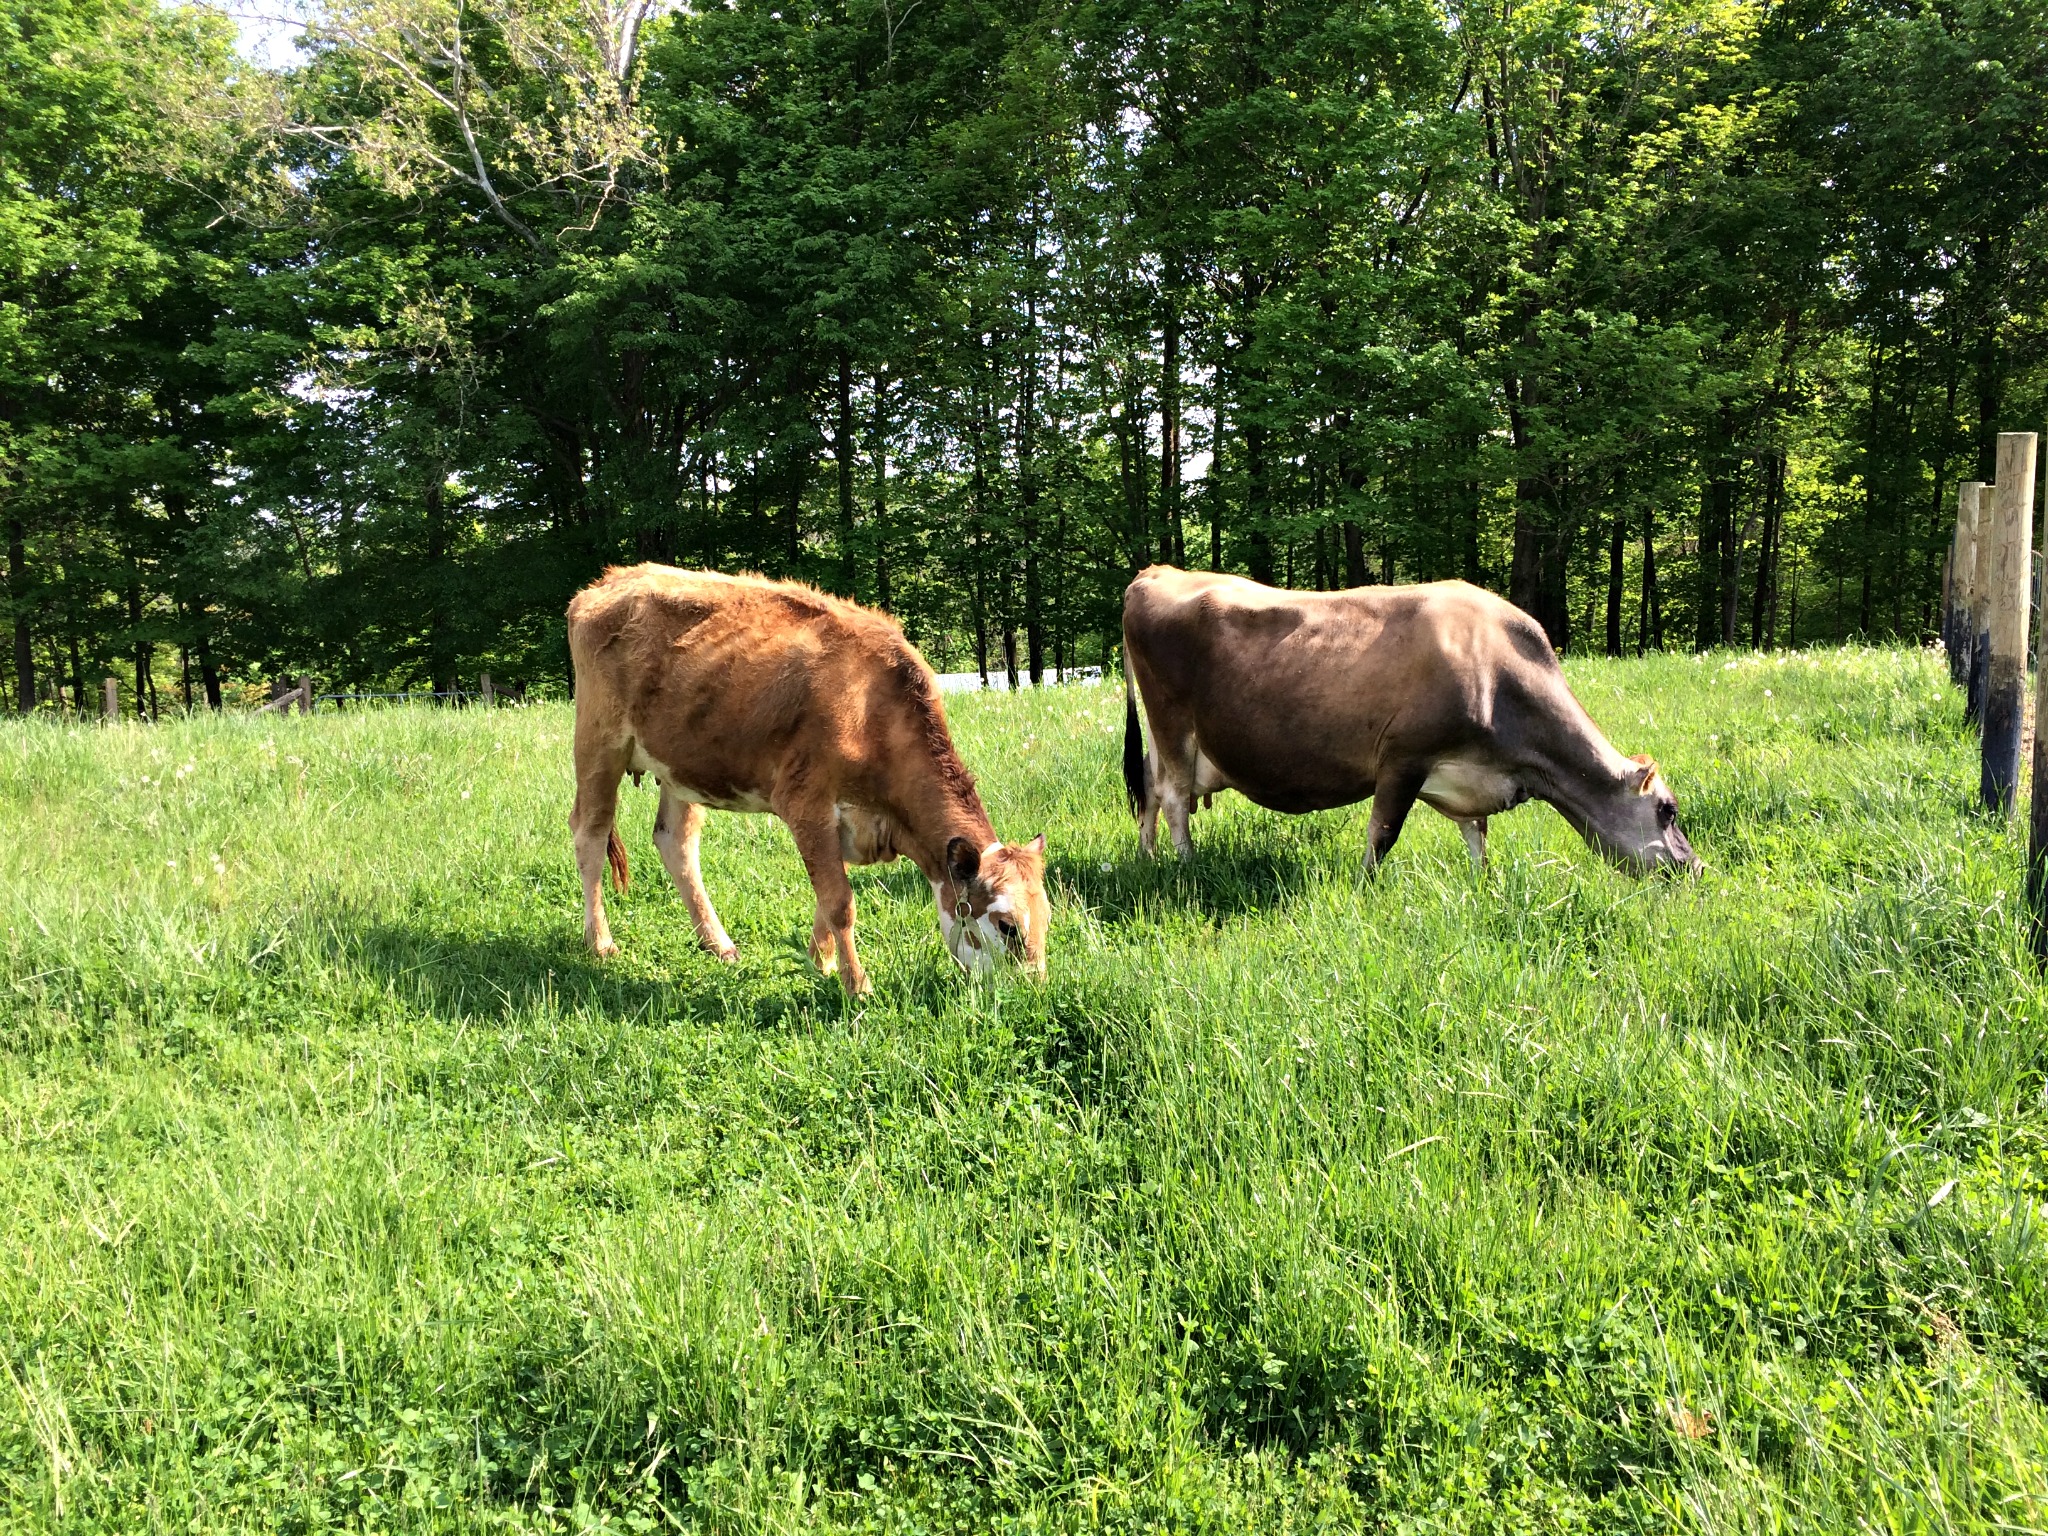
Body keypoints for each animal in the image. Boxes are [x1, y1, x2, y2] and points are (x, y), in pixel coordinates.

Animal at [567, 565, 1049, 996]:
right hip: (599, 741)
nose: (1033, 989)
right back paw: (601, 942)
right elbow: (840, 902)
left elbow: (827, 896)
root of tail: (611, 580)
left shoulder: (847, 823)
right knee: (590, 832)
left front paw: (822, 962)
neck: (872, 712)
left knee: (675, 841)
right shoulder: (805, 802)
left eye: (1046, 916)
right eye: (1007, 926)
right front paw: (857, 986)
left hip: (681, 764)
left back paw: (719, 944)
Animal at [1120, 567, 1698, 876]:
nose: (1695, 868)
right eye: (1667, 810)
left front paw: (1483, 883)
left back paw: (1148, 859)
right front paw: (1364, 887)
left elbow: (1477, 834)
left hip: (1168, 738)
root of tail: (1158, 572)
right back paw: (1186, 865)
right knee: (1173, 798)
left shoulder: (1471, 776)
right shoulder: (1402, 757)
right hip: (1173, 724)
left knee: (1148, 786)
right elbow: (1382, 835)